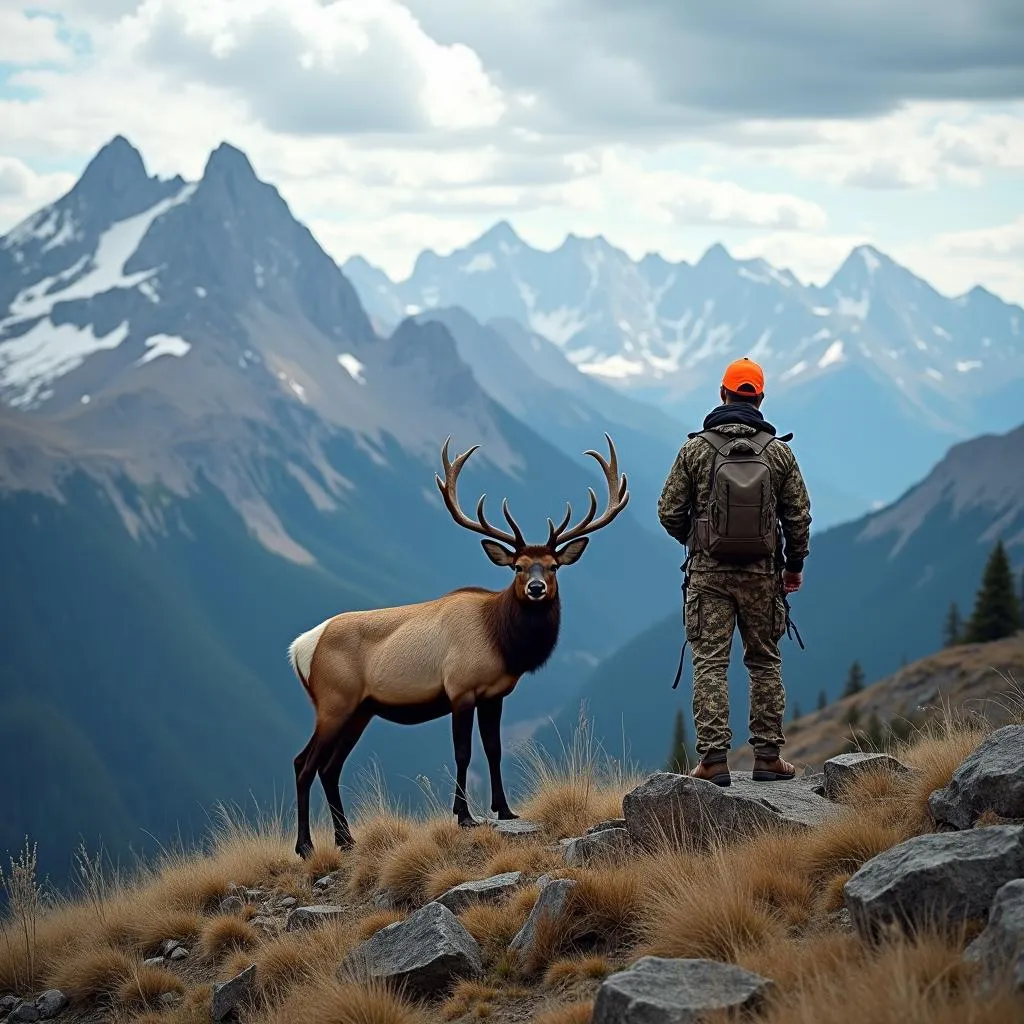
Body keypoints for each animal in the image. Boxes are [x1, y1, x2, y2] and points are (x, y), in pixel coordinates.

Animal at [284, 432, 626, 856]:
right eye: (517, 567)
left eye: (553, 566)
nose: (536, 588)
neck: (502, 642)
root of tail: (301, 648)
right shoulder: (460, 687)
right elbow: (463, 752)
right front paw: (464, 815)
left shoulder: (495, 693)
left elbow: (494, 749)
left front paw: (504, 809)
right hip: (334, 701)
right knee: (304, 763)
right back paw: (305, 846)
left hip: (361, 710)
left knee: (330, 768)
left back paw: (346, 840)